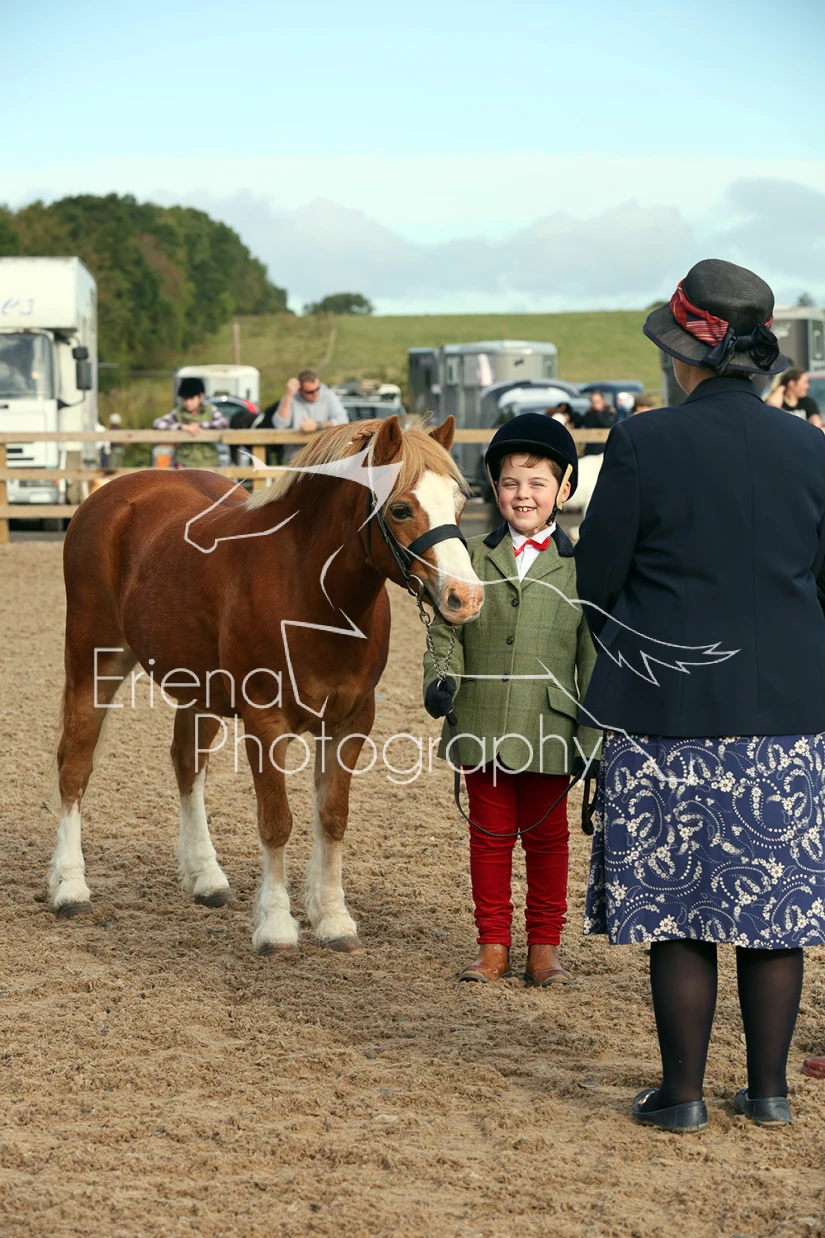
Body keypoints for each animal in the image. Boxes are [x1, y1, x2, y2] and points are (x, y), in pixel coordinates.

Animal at [50, 415, 483, 955]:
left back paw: (206, 878)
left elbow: (332, 817)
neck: (311, 592)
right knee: (75, 765)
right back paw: (70, 889)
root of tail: (109, 496)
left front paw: (333, 920)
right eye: (401, 508)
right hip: (93, 664)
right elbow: (277, 823)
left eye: (459, 502)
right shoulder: (265, 723)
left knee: (187, 764)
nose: (466, 597)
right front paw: (277, 927)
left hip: (198, 690)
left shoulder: (351, 721)